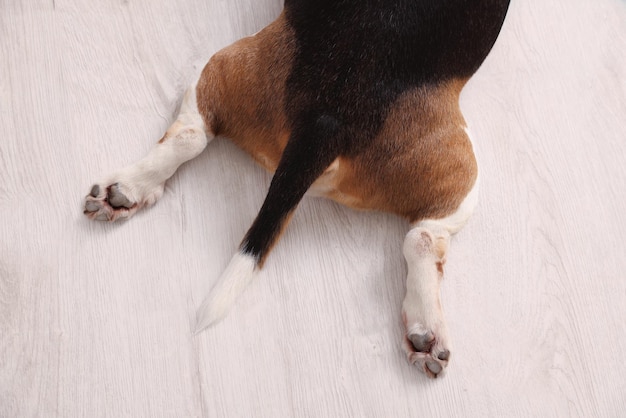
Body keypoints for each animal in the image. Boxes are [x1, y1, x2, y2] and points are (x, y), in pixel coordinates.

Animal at [84, 0, 508, 378]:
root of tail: (325, 117)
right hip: (462, 169)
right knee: (423, 237)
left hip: (226, 70)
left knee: (191, 134)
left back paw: (128, 188)